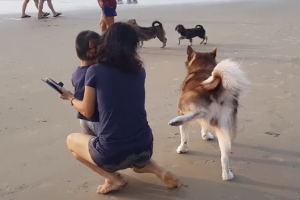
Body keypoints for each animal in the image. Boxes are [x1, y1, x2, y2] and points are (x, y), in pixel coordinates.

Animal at [168, 46, 250, 180]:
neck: (203, 67)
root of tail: (216, 88)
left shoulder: (181, 110)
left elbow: (184, 137)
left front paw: (183, 148)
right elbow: (204, 126)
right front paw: (206, 135)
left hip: (183, 103)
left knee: (199, 113)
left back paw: (176, 121)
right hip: (224, 126)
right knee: (225, 157)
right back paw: (227, 175)